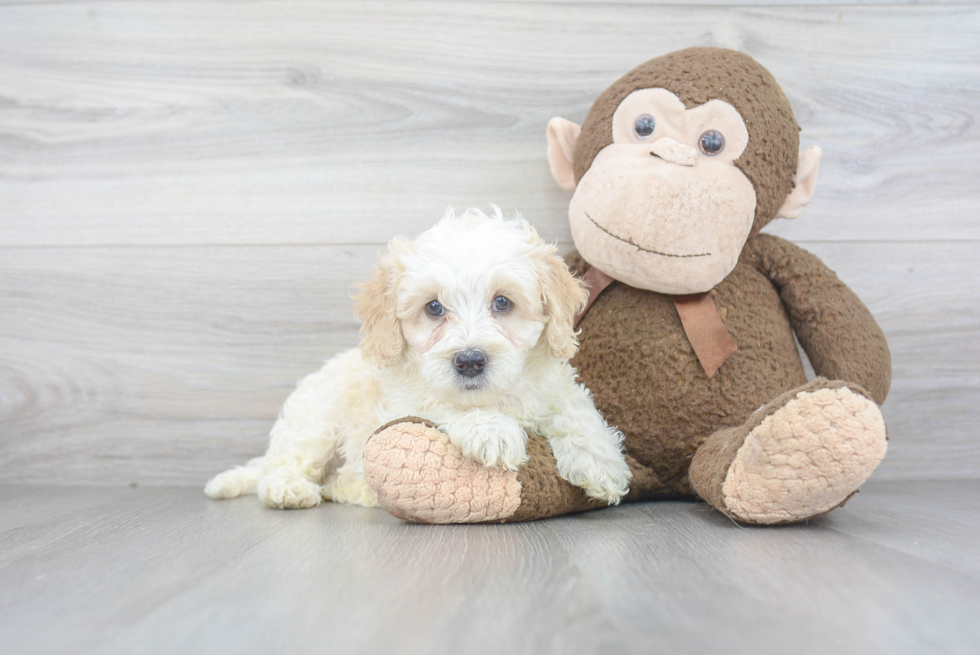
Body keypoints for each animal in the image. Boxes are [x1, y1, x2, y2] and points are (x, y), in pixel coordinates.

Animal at [208, 208, 636, 510]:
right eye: (433, 308)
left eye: (502, 302)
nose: (469, 361)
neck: (493, 398)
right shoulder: (404, 403)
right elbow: (443, 405)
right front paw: (491, 431)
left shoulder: (553, 383)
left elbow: (574, 407)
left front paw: (599, 461)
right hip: (315, 423)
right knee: (285, 469)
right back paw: (291, 489)